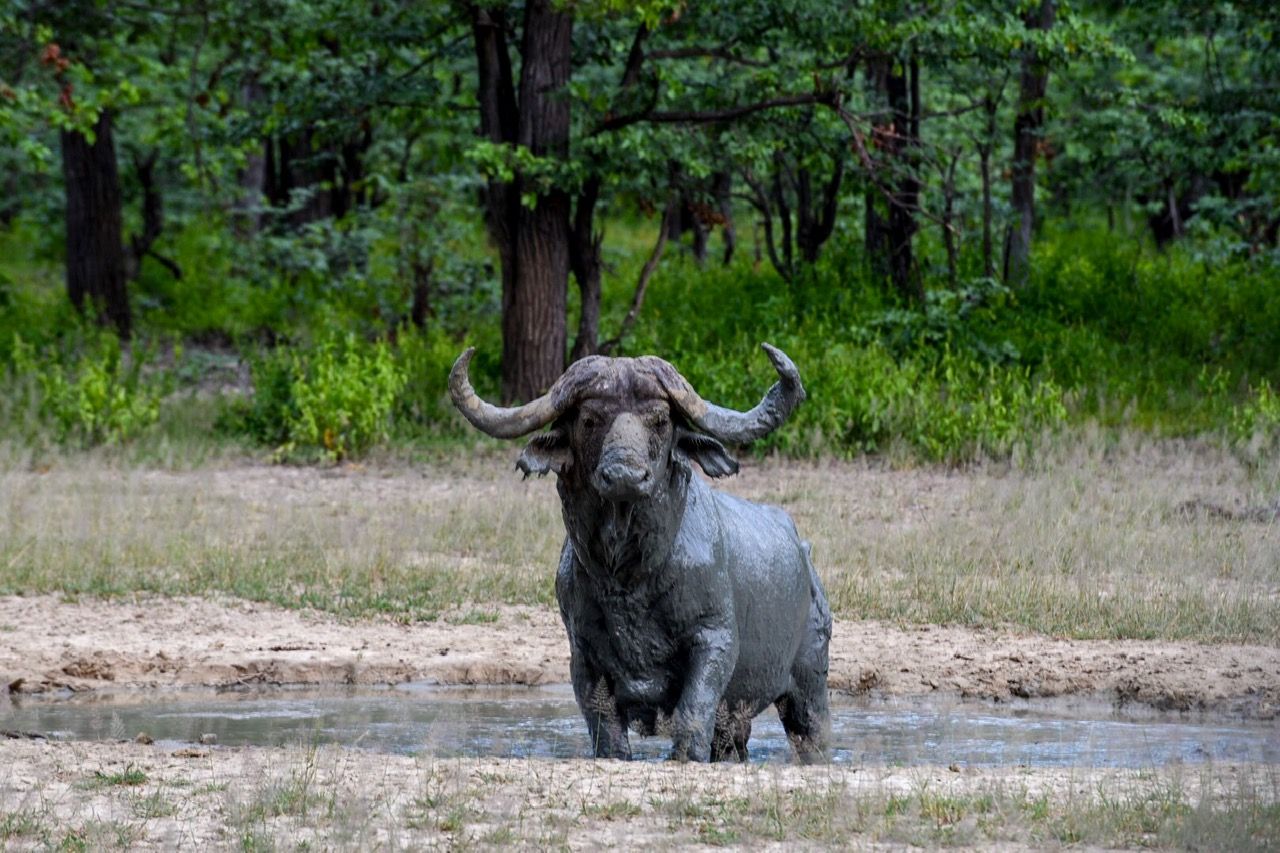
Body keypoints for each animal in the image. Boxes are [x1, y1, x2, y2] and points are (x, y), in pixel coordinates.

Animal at [449, 344, 831, 762]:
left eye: (660, 420)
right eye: (589, 419)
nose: (624, 476)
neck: (630, 575)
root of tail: (805, 555)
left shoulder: (714, 639)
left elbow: (693, 712)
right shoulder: (583, 655)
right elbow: (605, 726)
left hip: (810, 684)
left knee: (810, 730)